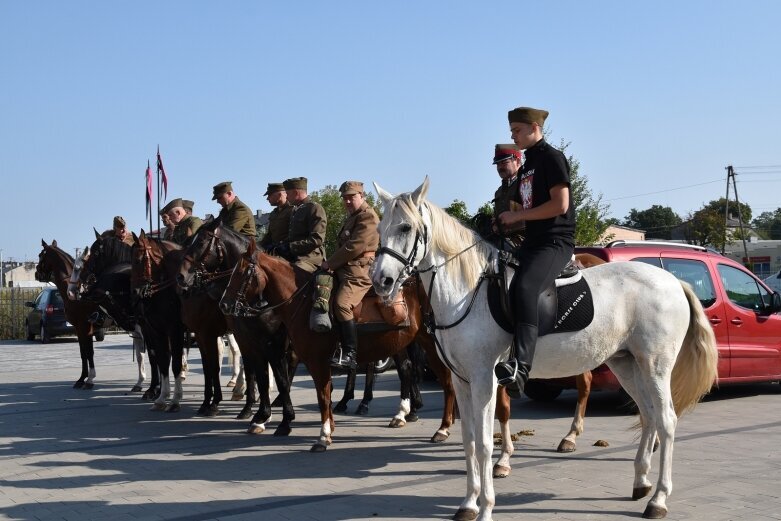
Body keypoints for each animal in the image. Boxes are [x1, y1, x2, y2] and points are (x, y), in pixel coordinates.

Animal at [218, 240, 458, 450]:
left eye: (241, 273)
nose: (224, 305)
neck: (303, 303)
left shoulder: (309, 360)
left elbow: (321, 396)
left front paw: (321, 435)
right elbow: (312, 391)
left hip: (431, 345)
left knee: (446, 381)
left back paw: (442, 427)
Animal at [372, 177, 720, 516]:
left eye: (405, 228)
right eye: (379, 229)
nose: (381, 282)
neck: (468, 291)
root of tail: (675, 282)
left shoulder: (485, 380)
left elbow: (484, 444)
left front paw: (486, 507)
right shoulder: (462, 381)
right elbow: (469, 441)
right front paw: (469, 504)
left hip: (655, 366)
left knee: (667, 421)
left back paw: (658, 499)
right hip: (627, 365)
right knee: (649, 416)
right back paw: (641, 484)